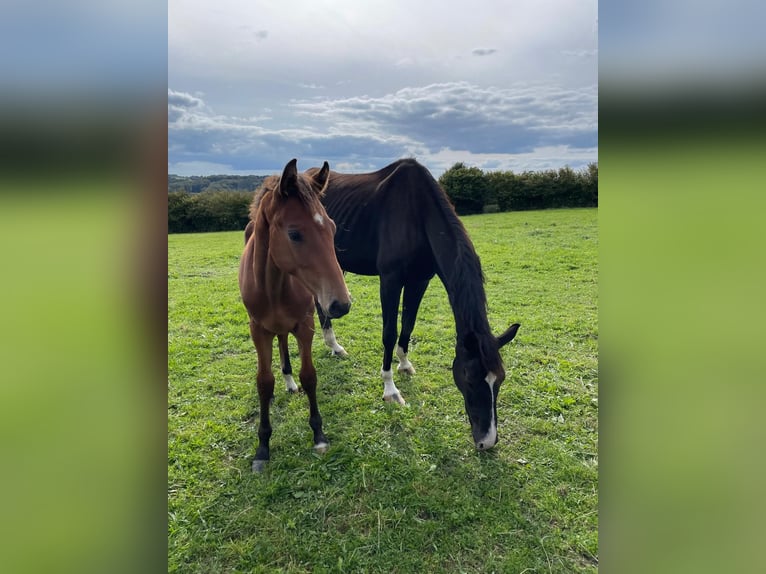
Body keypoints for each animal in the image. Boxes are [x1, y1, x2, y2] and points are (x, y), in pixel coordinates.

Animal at [238, 158, 352, 472]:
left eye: (332, 228)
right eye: (294, 233)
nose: (341, 304)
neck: (274, 284)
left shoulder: (305, 324)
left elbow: (309, 376)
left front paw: (319, 436)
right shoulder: (257, 329)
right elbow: (264, 383)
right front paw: (262, 447)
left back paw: (289, 382)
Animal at [308, 160, 520, 452]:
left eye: (500, 379)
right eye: (468, 377)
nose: (486, 441)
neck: (418, 215)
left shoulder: (419, 281)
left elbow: (408, 326)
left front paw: (405, 364)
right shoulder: (390, 280)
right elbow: (389, 333)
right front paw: (390, 389)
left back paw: (334, 346)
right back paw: (332, 344)